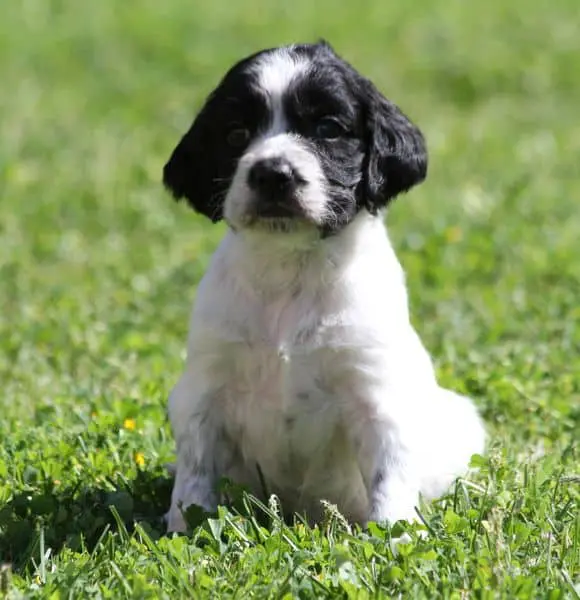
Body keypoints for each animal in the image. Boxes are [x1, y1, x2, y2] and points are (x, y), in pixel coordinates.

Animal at [162, 42, 486, 533]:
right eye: (236, 133)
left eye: (328, 129)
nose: (272, 174)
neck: (291, 268)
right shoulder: (204, 386)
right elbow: (196, 471)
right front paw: (184, 528)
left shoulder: (377, 393)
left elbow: (389, 477)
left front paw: (395, 536)